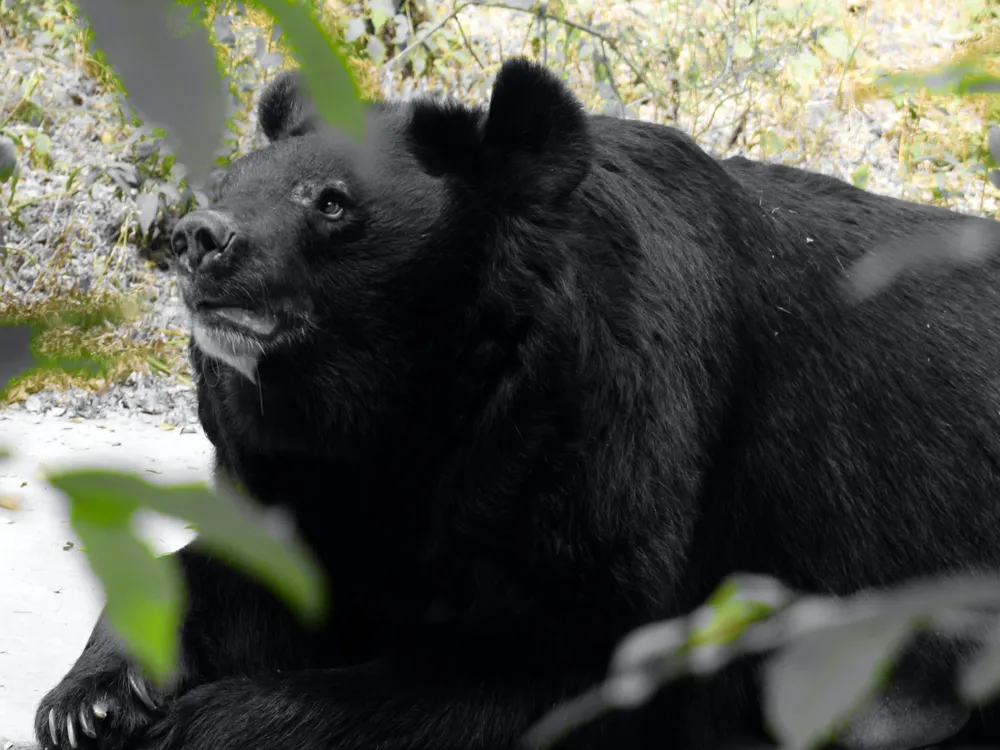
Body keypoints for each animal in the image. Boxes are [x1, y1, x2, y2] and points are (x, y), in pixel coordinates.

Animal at [37, 55, 1000, 748]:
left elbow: (550, 667)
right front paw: (90, 703)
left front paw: (196, 724)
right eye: (228, 187)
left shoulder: (602, 446)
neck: (405, 403)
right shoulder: (310, 475)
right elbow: (252, 570)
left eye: (332, 205)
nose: (198, 240)